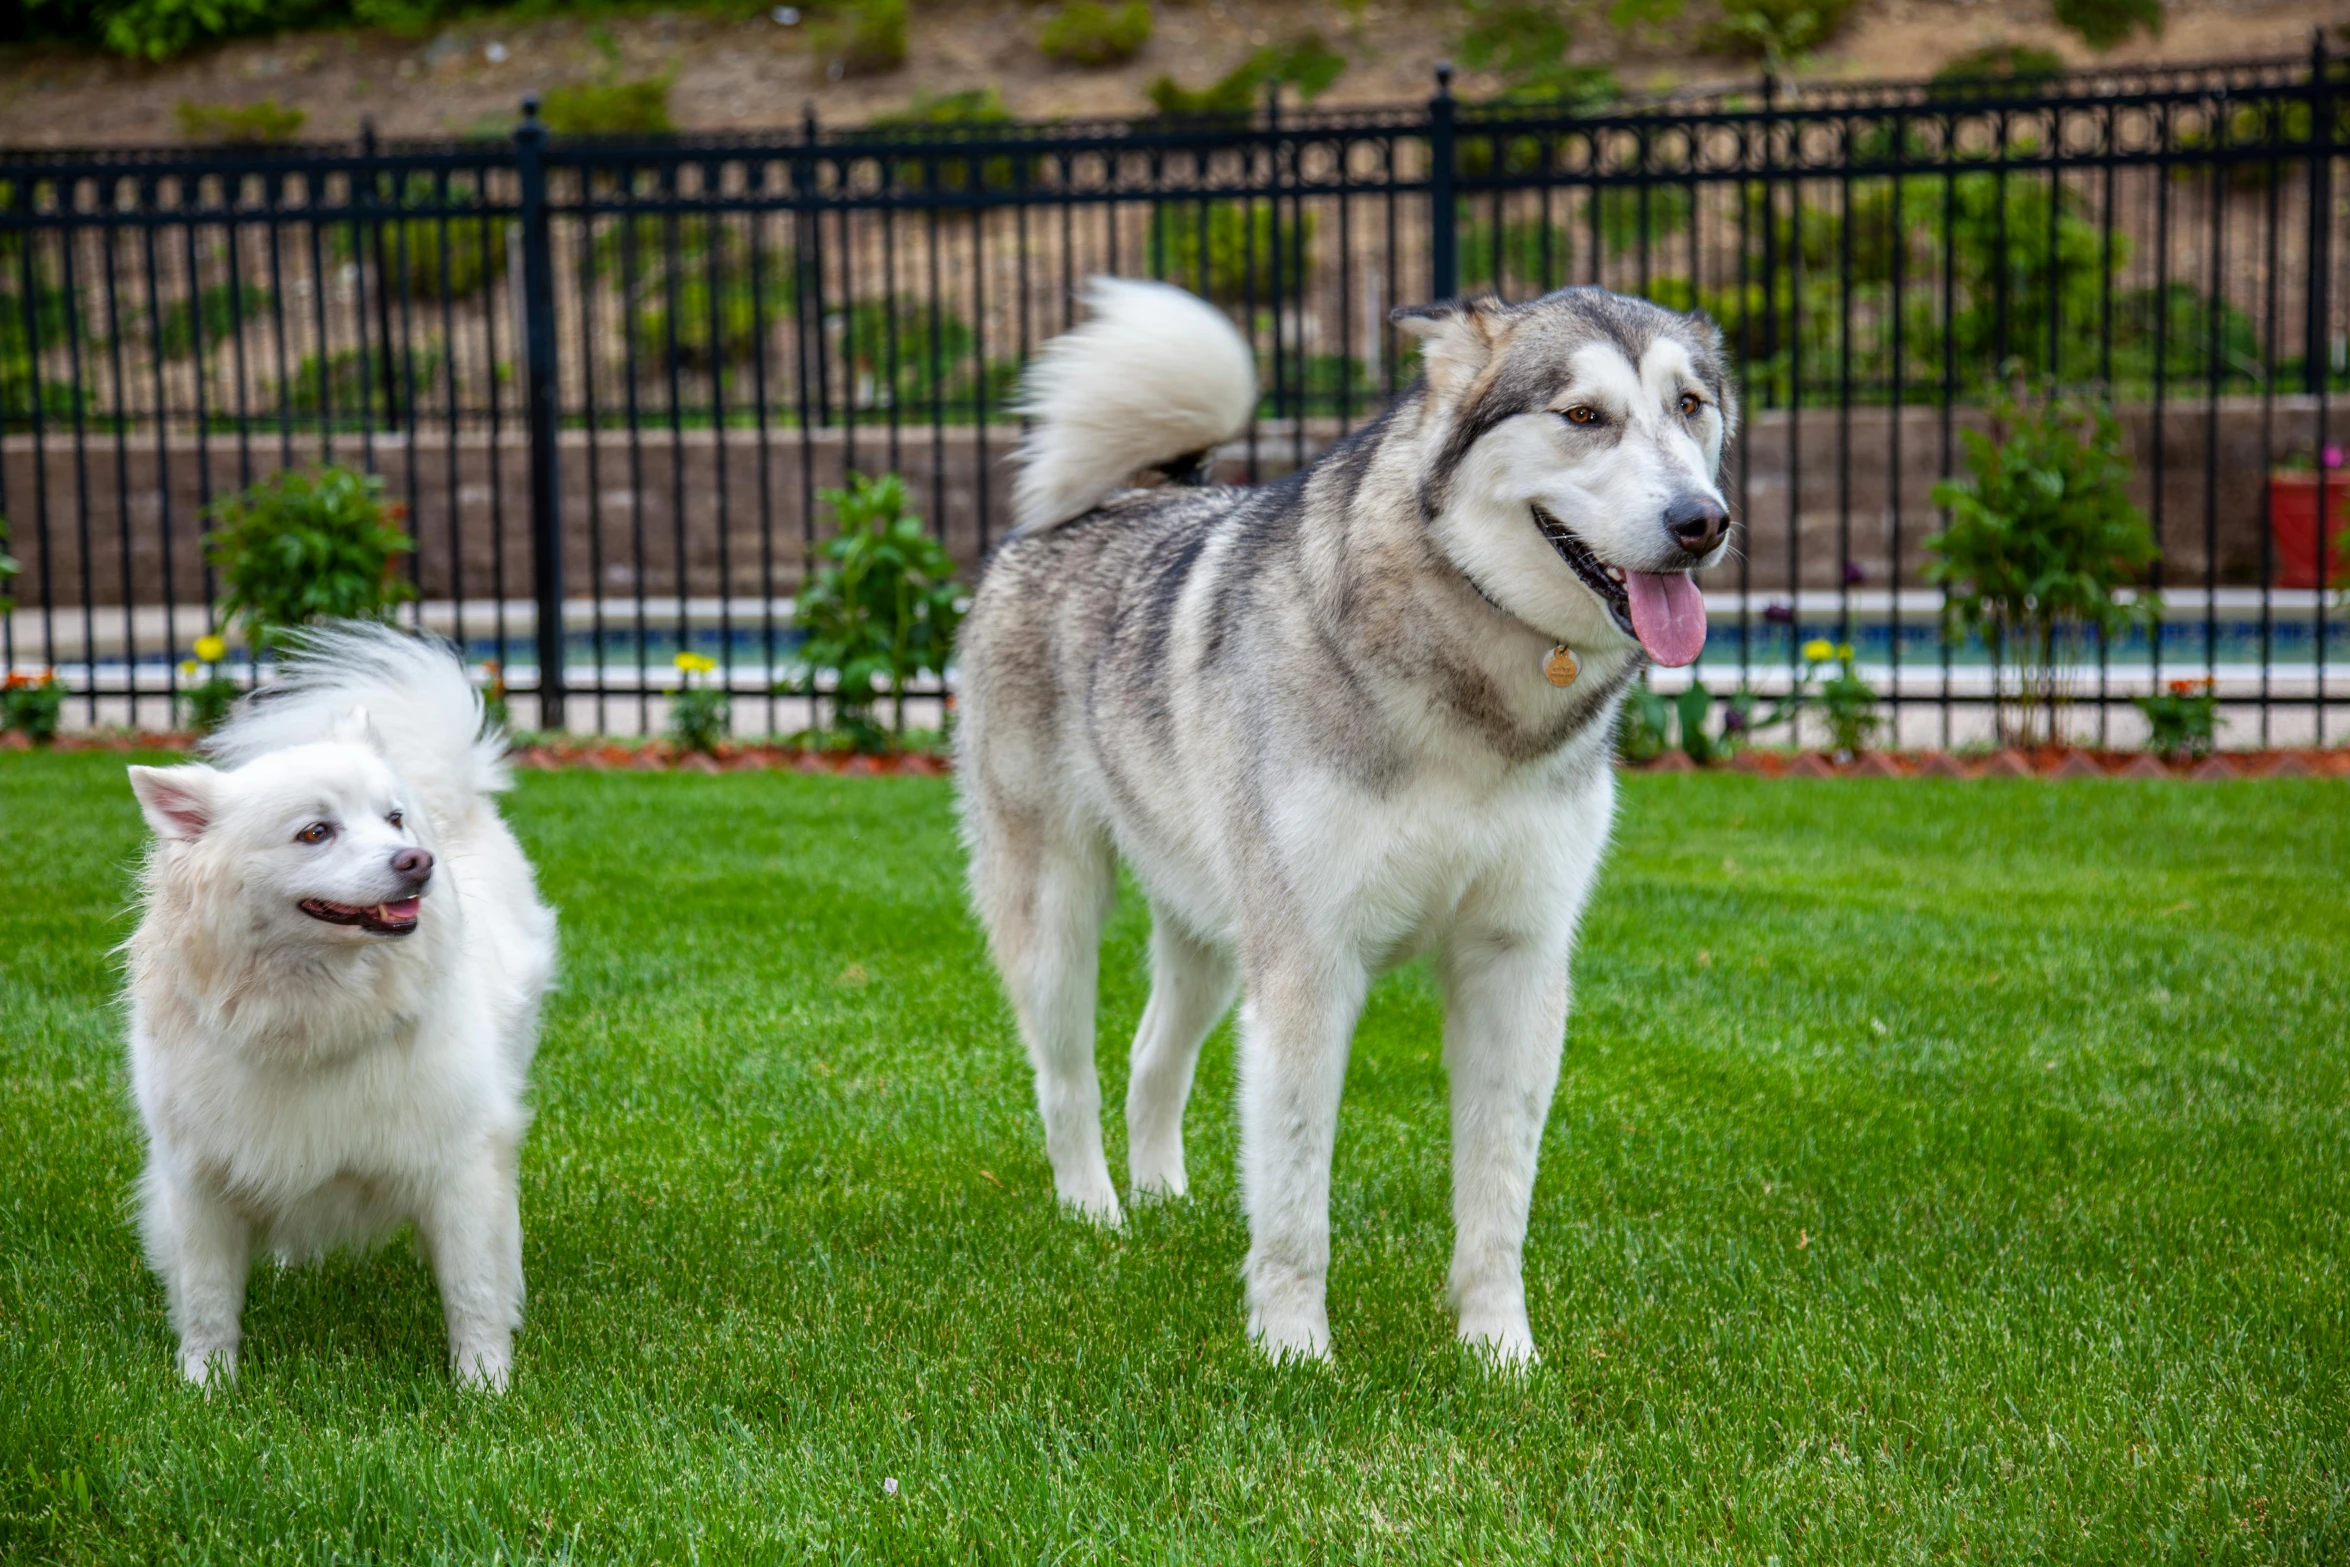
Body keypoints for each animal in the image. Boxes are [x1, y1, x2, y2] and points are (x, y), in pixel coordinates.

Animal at [131, 620, 561, 1381]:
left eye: (392, 820)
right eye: (315, 832)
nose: (417, 860)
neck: (313, 1015)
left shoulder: (459, 1162)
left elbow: (472, 1291)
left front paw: (485, 1386)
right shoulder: (200, 1181)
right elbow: (209, 1301)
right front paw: (206, 1388)